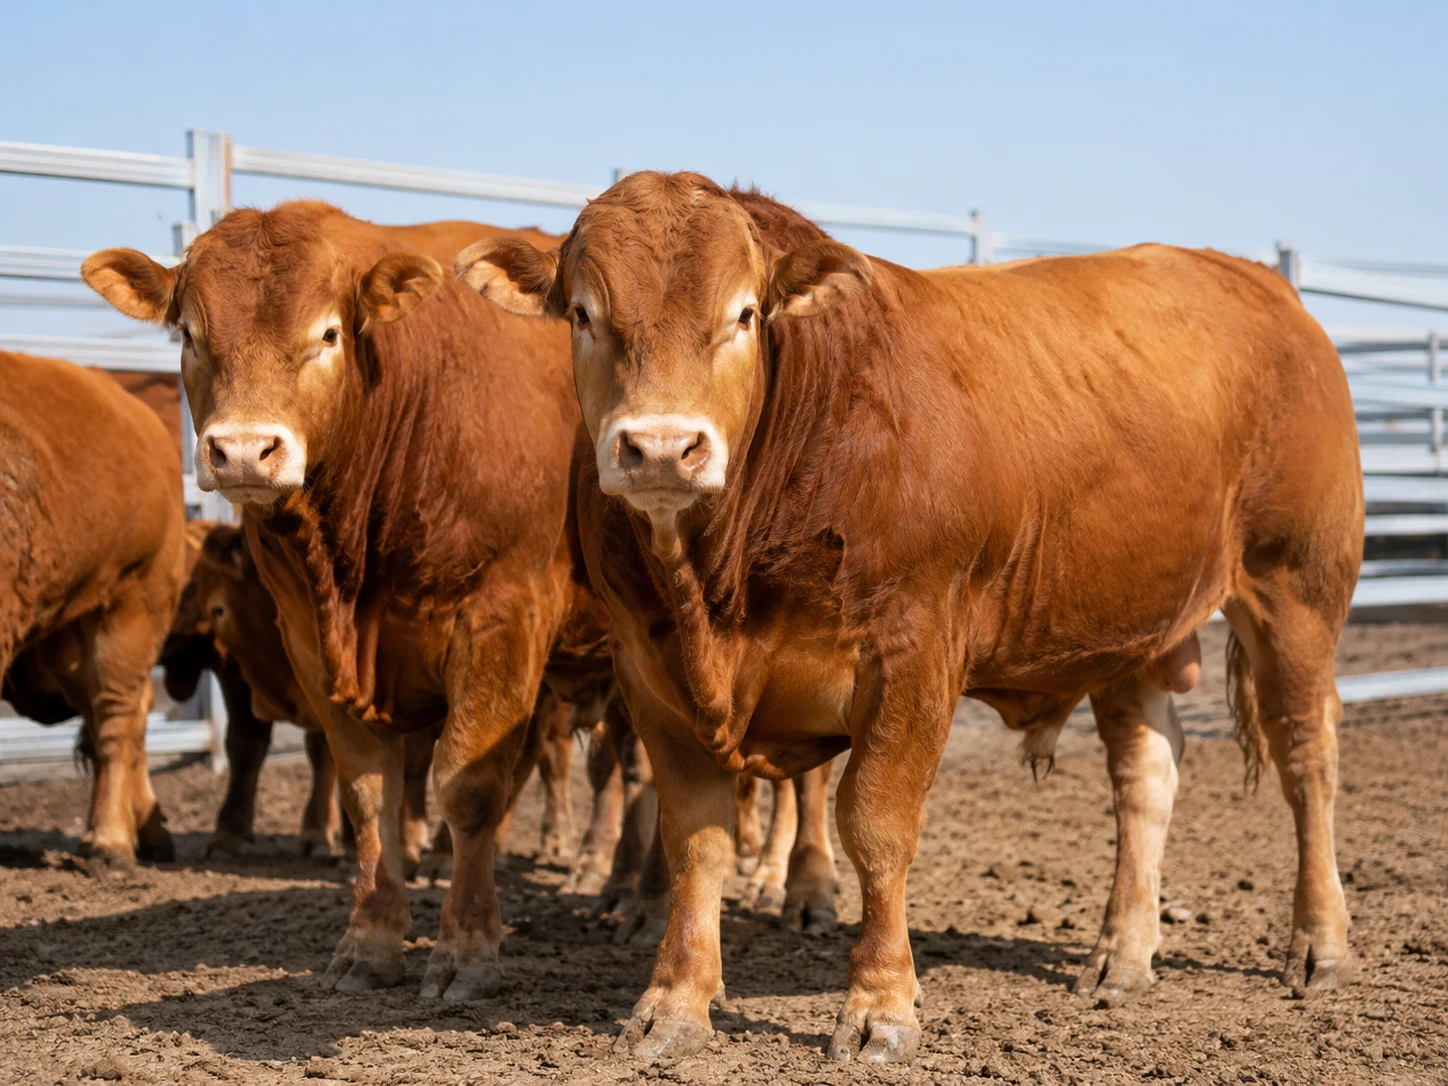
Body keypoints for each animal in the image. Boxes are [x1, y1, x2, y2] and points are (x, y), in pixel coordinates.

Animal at [83, 202, 602, 1001]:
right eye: (191, 334)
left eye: (327, 333)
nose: (243, 450)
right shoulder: (311, 641)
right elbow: (366, 795)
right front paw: (371, 942)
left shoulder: (503, 620)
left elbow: (470, 788)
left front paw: (467, 950)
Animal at [455, 171, 1363, 1063]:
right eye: (582, 313)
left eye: (744, 313)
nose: (661, 449)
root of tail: (1258, 282)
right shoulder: (650, 672)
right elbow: (696, 839)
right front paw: (673, 1004)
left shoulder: (913, 653)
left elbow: (876, 825)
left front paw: (879, 1008)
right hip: (1132, 627)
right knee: (1146, 772)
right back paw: (1122, 955)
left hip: (1296, 585)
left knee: (1306, 754)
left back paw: (1319, 944)